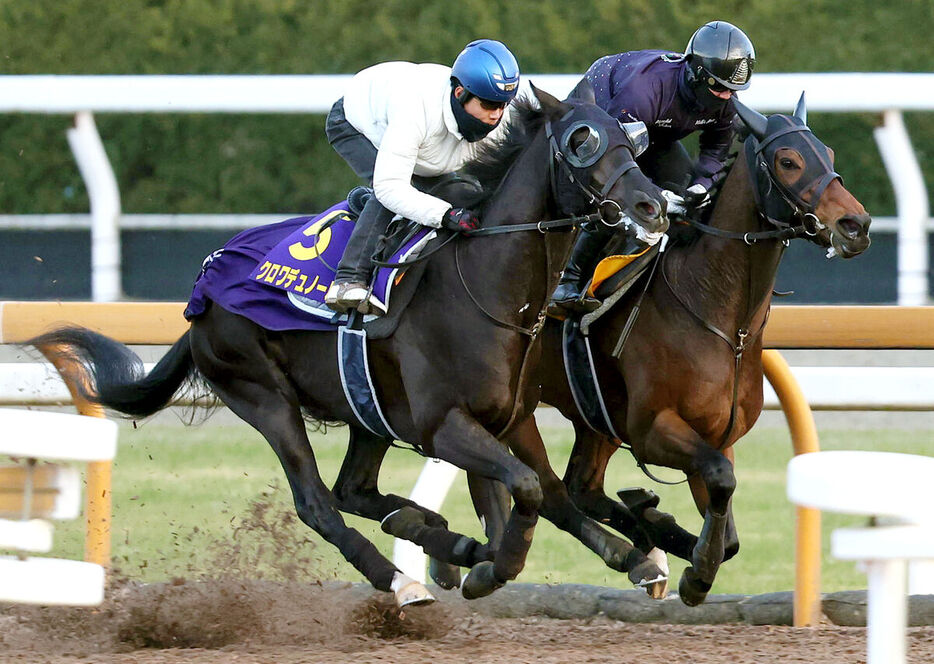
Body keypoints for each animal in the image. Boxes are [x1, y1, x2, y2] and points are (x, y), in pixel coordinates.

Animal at [31, 83, 672, 608]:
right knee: (318, 502)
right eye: (582, 142)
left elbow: (549, 494)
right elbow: (527, 488)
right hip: (262, 394)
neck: (486, 283)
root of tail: (202, 291)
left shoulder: (511, 417)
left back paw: (432, 538)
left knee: (354, 490)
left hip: (367, 410)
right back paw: (401, 578)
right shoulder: (443, 426)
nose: (653, 206)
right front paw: (493, 566)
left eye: (631, 137)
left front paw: (634, 558)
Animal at [472, 94, 872, 608]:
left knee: (582, 488)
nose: (856, 224)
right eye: (788, 161)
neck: (720, 317)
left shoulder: (716, 435)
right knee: (553, 490)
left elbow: (727, 523)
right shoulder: (652, 429)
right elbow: (721, 481)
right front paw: (693, 570)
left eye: (830, 154)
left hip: (594, 416)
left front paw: (672, 538)